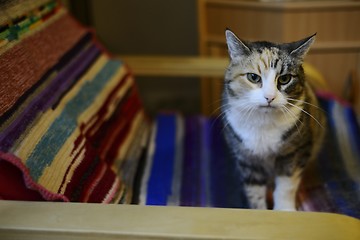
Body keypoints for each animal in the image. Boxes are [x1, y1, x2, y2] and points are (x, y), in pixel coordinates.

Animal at [222, 29, 326, 211]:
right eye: (253, 77)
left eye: (284, 79)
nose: (269, 97)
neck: (263, 122)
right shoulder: (247, 159)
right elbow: (254, 191)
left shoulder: (296, 151)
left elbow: (286, 185)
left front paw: (284, 211)